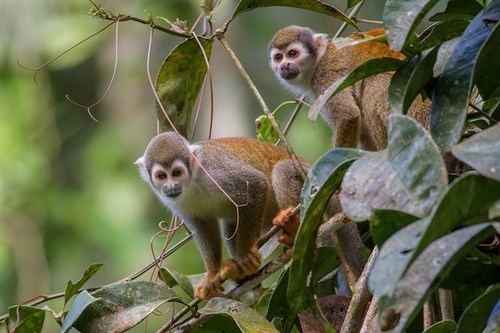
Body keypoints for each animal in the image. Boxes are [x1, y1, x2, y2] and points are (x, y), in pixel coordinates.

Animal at [135, 132, 310, 298]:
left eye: (176, 172)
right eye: (162, 176)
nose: (171, 186)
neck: (192, 181)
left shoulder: (214, 171)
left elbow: (255, 183)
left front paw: (245, 255)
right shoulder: (176, 203)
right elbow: (203, 227)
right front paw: (212, 277)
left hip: (307, 176)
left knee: (284, 169)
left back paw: (293, 229)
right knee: (231, 223)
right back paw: (241, 275)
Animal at [270, 25, 430, 150]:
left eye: (292, 54)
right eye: (279, 57)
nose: (285, 66)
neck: (318, 61)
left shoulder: (325, 75)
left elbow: (347, 115)